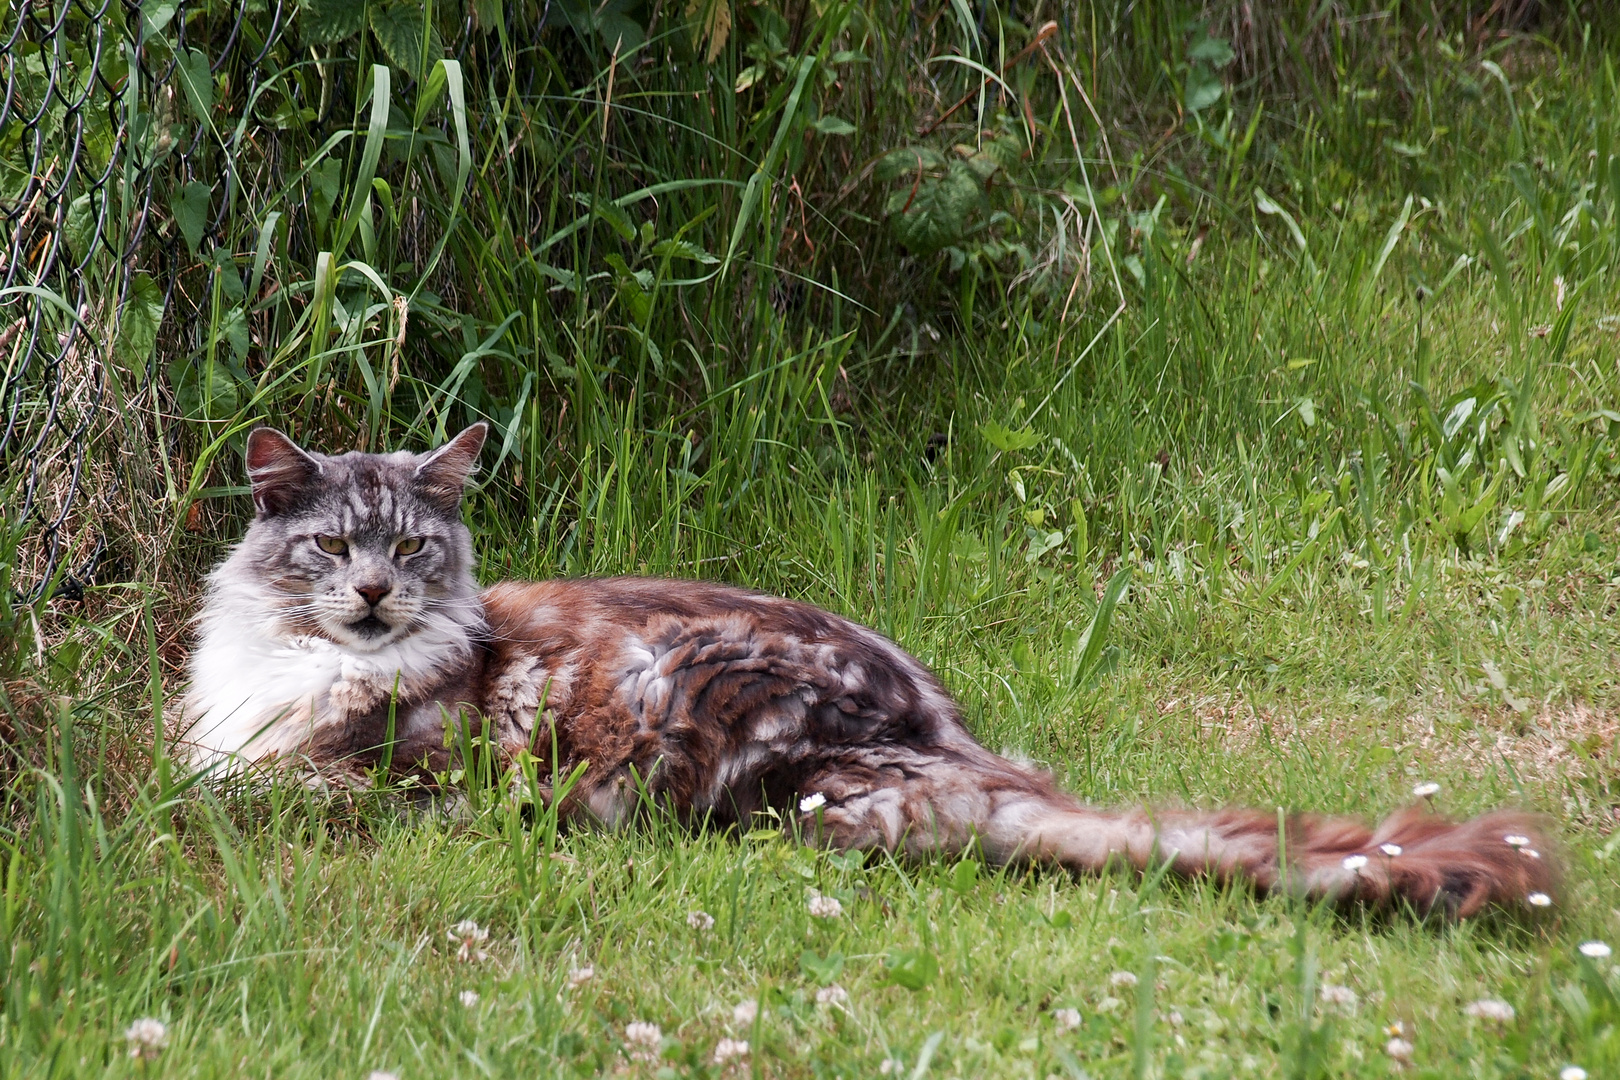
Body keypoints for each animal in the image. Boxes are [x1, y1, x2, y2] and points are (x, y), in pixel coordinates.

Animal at [186, 420, 1555, 919]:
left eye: (413, 547)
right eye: (333, 548)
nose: (375, 595)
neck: (296, 665)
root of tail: (961, 753)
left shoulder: (402, 780)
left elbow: (238, 789)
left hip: (721, 731)